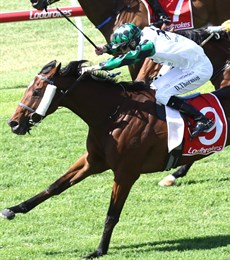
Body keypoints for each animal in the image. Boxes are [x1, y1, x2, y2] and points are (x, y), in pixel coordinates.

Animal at [1, 58, 230, 256]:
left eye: (37, 91)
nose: (13, 122)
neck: (114, 115)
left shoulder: (126, 172)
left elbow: (112, 213)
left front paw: (99, 250)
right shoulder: (93, 161)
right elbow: (55, 186)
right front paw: (14, 209)